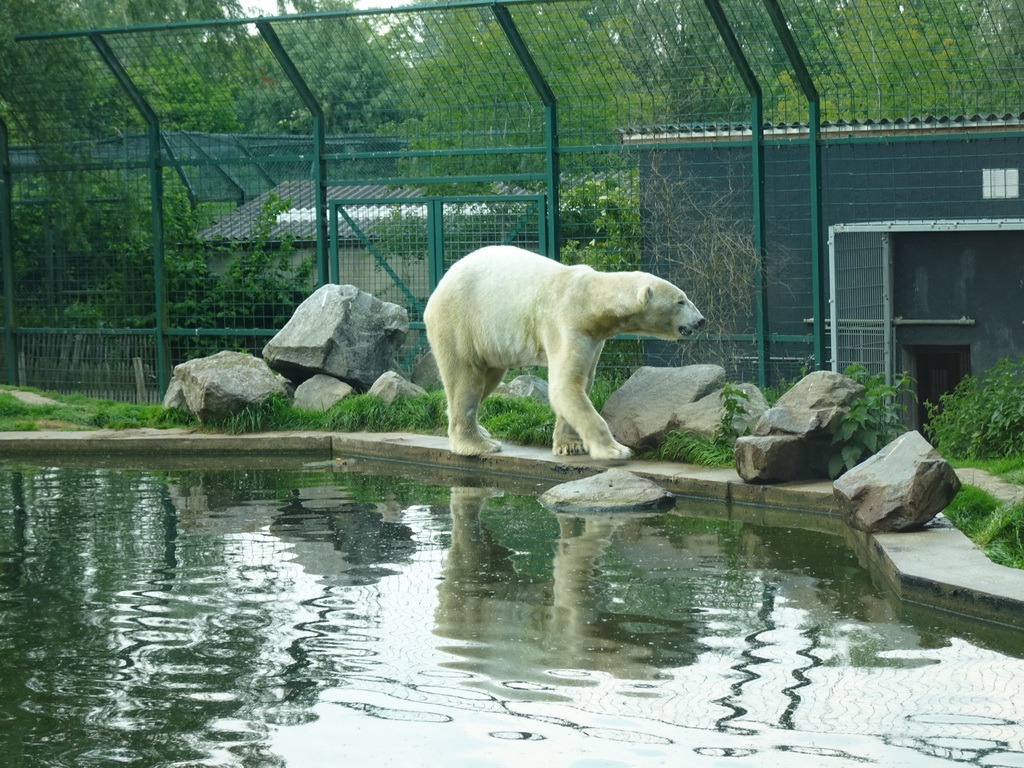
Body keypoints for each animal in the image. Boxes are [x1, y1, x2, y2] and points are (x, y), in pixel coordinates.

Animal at [423, 246, 704, 460]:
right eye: (680, 301)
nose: (701, 321)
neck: (589, 298)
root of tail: (438, 287)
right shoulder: (565, 322)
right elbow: (565, 385)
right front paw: (615, 449)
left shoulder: (594, 337)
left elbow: (583, 381)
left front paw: (570, 446)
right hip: (460, 321)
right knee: (466, 379)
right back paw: (478, 444)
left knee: (488, 377)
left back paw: (481, 431)